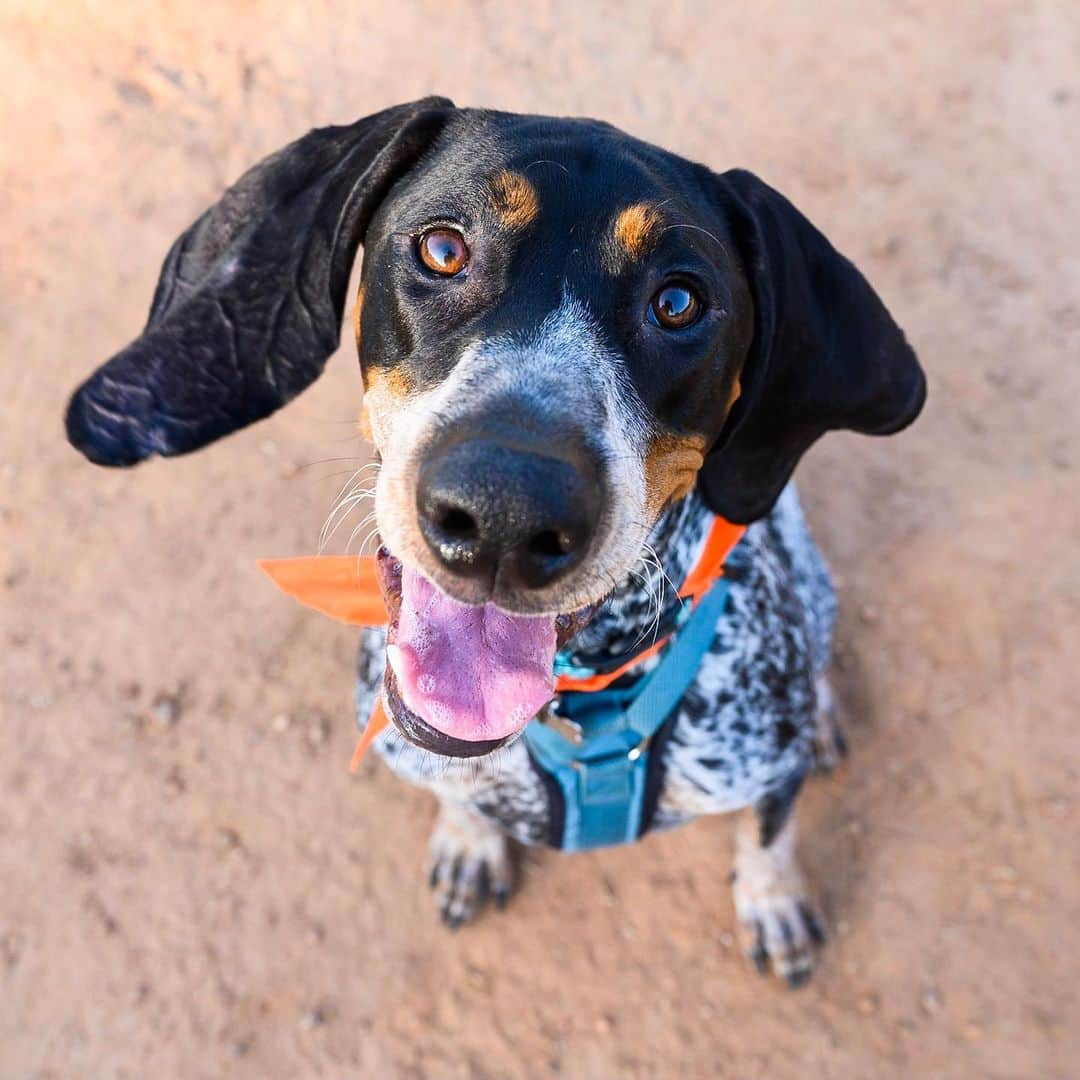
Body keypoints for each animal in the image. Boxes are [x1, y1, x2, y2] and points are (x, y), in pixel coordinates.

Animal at [65, 99, 928, 989]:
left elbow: (768, 836)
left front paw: (772, 901)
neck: (581, 706)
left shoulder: (762, 768)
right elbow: (458, 794)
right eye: (443, 249)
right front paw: (468, 839)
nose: (504, 514)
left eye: (679, 303)